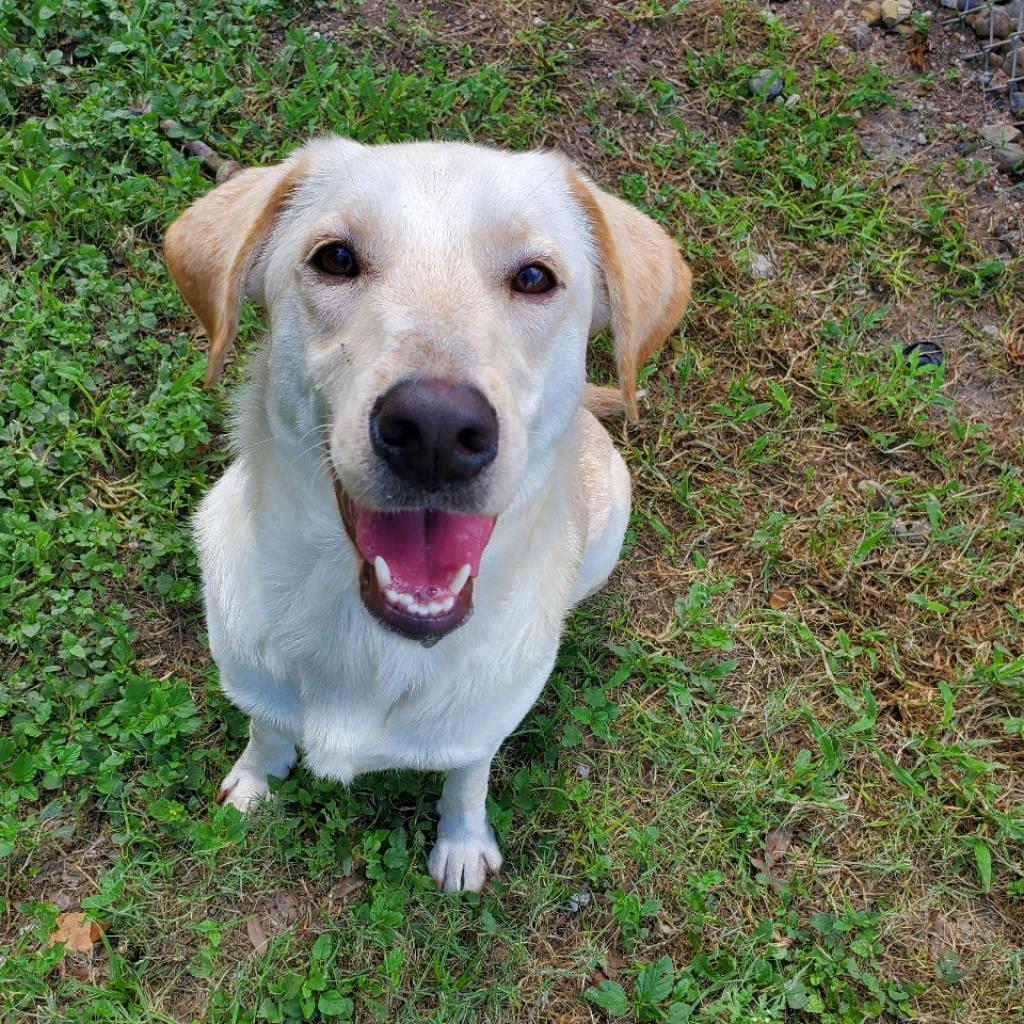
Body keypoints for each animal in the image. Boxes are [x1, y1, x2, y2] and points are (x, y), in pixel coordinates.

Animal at [167, 136, 692, 888]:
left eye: (535, 276)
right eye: (335, 258)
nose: (437, 431)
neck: (367, 641)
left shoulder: (481, 730)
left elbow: (467, 780)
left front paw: (463, 844)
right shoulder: (253, 681)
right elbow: (267, 729)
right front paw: (256, 782)